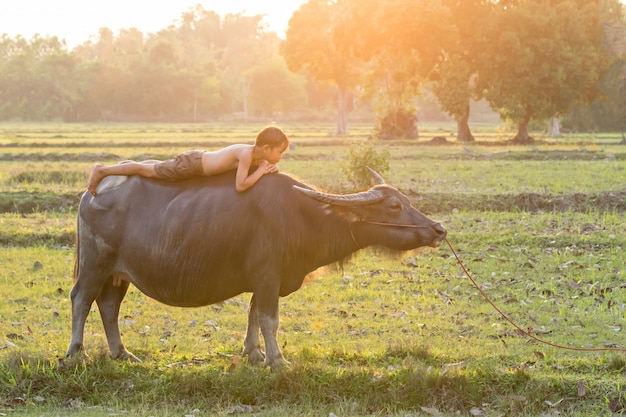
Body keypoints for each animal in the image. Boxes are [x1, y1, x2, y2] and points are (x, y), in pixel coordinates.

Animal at [67, 167, 444, 368]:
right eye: (394, 206)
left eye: (406, 201)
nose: (439, 229)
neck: (303, 217)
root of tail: (91, 193)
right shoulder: (267, 276)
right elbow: (269, 318)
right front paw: (277, 361)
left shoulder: (264, 280)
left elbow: (253, 314)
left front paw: (253, 353)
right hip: (94, 264)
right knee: (82, 300)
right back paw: (75, 354)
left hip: (118, 274)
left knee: (109, 306)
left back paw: (122, 353)